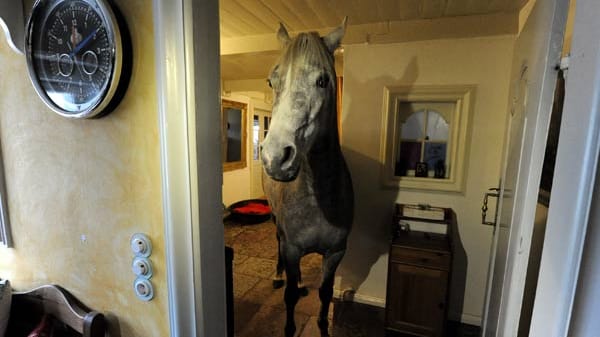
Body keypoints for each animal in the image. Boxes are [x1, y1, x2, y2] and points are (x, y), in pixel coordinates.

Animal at [262, 18, 354, 336]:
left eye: (323, 81)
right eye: (271, 81)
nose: (276, 157)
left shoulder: (336, 253)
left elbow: (325, 293)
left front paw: (323, 324)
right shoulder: (292, 248)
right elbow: (289, 296)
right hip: (277, 226)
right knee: (277, 243)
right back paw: (278, 276)